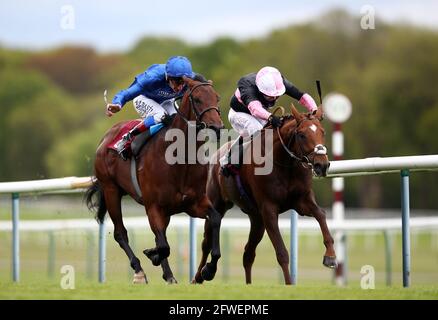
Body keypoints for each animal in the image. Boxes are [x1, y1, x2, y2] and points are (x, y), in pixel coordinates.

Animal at [84, 77, 226, 282]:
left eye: (217, 98)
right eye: (198, 99)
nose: (217, 127)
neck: (180, 159)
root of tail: (106, 137)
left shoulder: (194, 203)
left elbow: (215, 219)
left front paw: (209, 269)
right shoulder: (153, 207)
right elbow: (163, 245)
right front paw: (153, 256)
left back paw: (168, 275)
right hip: (111, 190)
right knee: (121, 233)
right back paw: (139, 271)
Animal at [194, 104, 336, 284]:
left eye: (322, 132)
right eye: (302, 135)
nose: (322, 165)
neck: (284, 163)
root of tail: (216, 155)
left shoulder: (301, 201)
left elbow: (321, 214)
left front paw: (330, 256)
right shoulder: (269, 210)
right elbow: (282, 252)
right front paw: (289, 283)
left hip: (256, 219)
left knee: (248, 253)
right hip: (217, 203)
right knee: (207, 241)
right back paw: (201, 275)